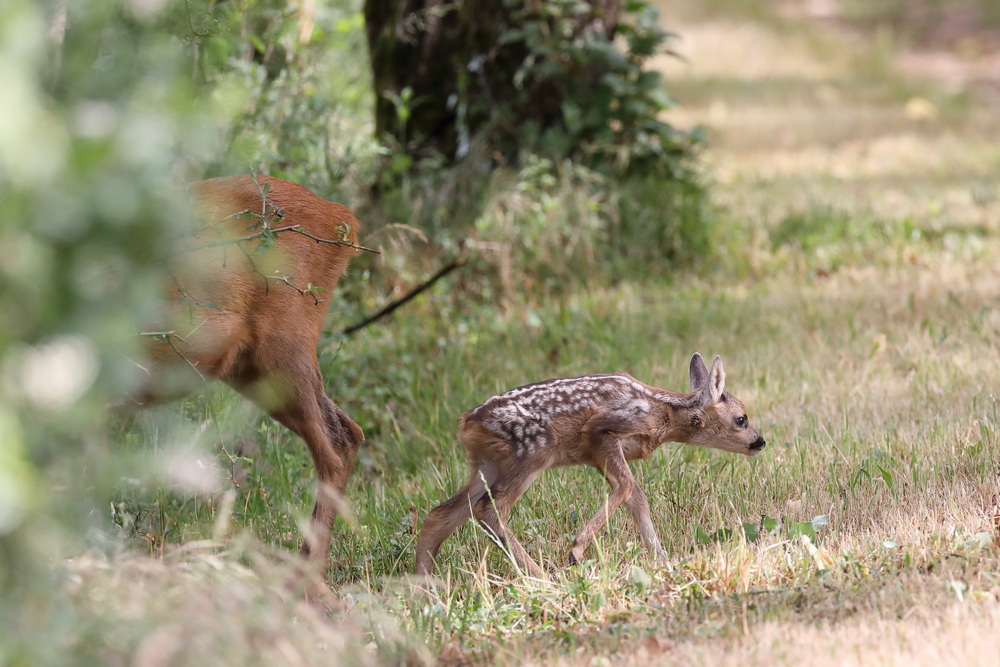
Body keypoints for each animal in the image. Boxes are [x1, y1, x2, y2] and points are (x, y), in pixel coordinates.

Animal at [133, 174, 366, 568]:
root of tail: (344, 219)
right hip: (250, 369)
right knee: (348, 430)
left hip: (285, 346)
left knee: (336, 442)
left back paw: (304, 576)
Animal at [414, 354, 764, 580]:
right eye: (741, 419)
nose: (759, 441)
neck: (662, 415)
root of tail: (468, 423)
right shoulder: (601, 431)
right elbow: (626, 488)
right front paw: (576, 551)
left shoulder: (600, 454)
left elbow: (637, 499)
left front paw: (663, 561)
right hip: (531, 452)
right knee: (490, 509)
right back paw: (541, 577)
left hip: (487, 465)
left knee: (441, 514)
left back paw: (423, 591)